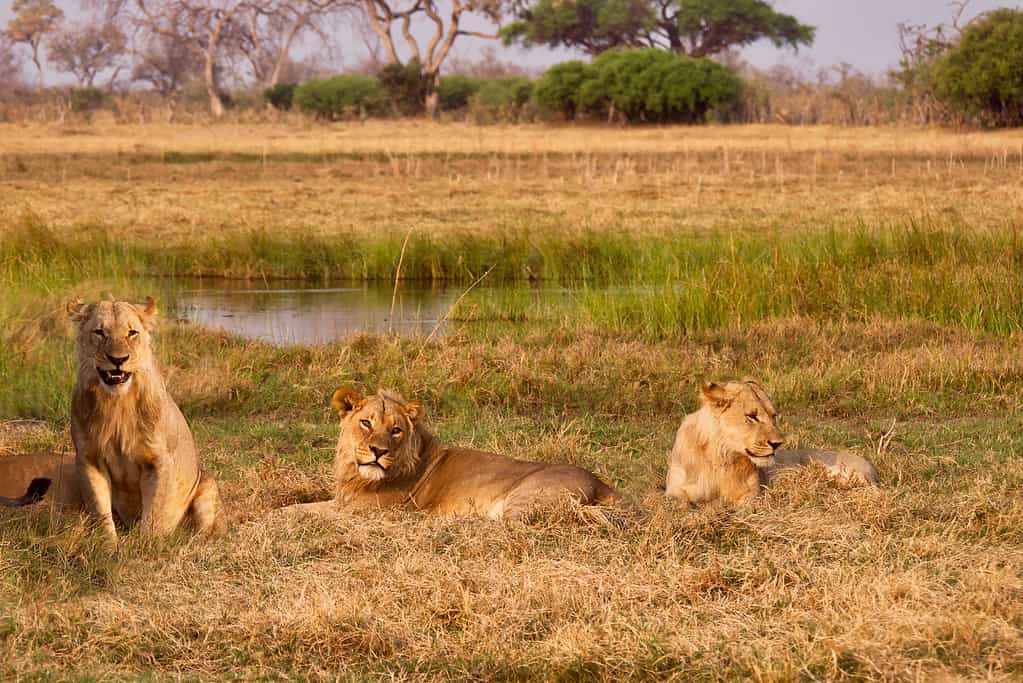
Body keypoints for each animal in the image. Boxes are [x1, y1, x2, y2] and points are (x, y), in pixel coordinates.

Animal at [0, 298, 223, 543]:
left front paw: (147, 546)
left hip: (207, 487)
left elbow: (155, 514)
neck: (117, 404)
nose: (118, 360)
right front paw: (109, 545)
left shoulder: (159, 461)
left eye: (132, 333)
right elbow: (100, 509)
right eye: (100, 332)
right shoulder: (90, 460)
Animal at [292, 386, 626, 519]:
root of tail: (600, 482)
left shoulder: (362, 510)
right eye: (366, 423)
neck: (355, 474)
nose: (378, 450)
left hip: (524, 498)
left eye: (396, 430)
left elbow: (301, 511)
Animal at [662, 378, 879, 507]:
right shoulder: (674, 491)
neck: (722, 456)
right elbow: (680, 502)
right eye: (752, 416)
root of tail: (872, 467)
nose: (777, 444)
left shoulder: (752, 494)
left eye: (774, 416)